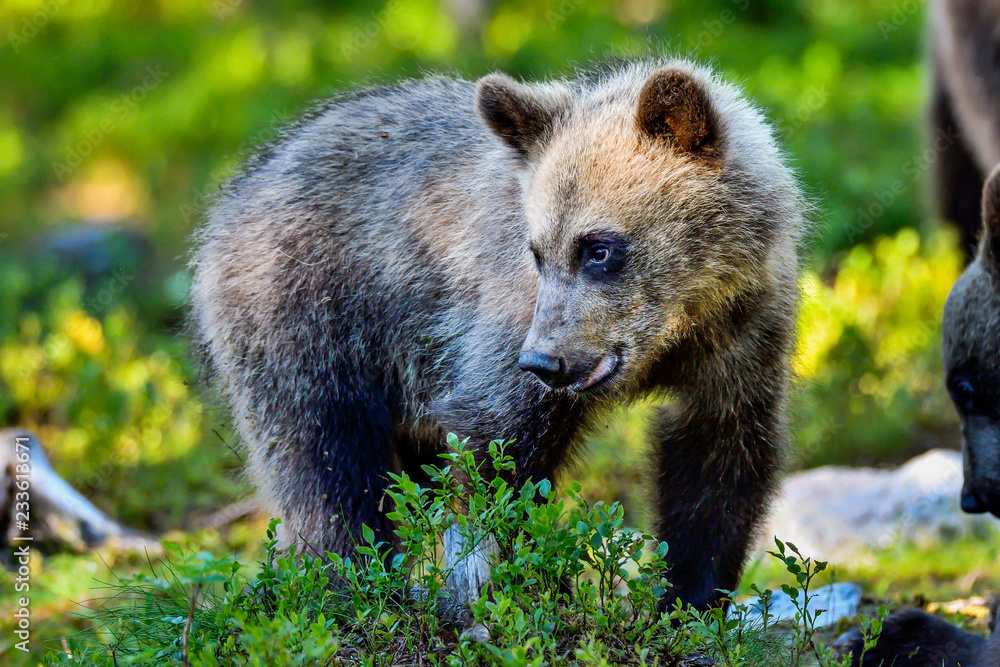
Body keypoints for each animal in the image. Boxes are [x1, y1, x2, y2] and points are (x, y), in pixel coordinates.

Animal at [190, 59, 805, 613]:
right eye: (538, 251)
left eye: (598, 248)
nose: (543, 361)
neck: (678, 326)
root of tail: (234, 195)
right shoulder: (500, 328)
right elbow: (497, 451)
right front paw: (519, 586)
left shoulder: (743, 338)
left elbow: (719, 463)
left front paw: (688, 600)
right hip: (309, 318)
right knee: (325, 461)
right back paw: (357, 586)